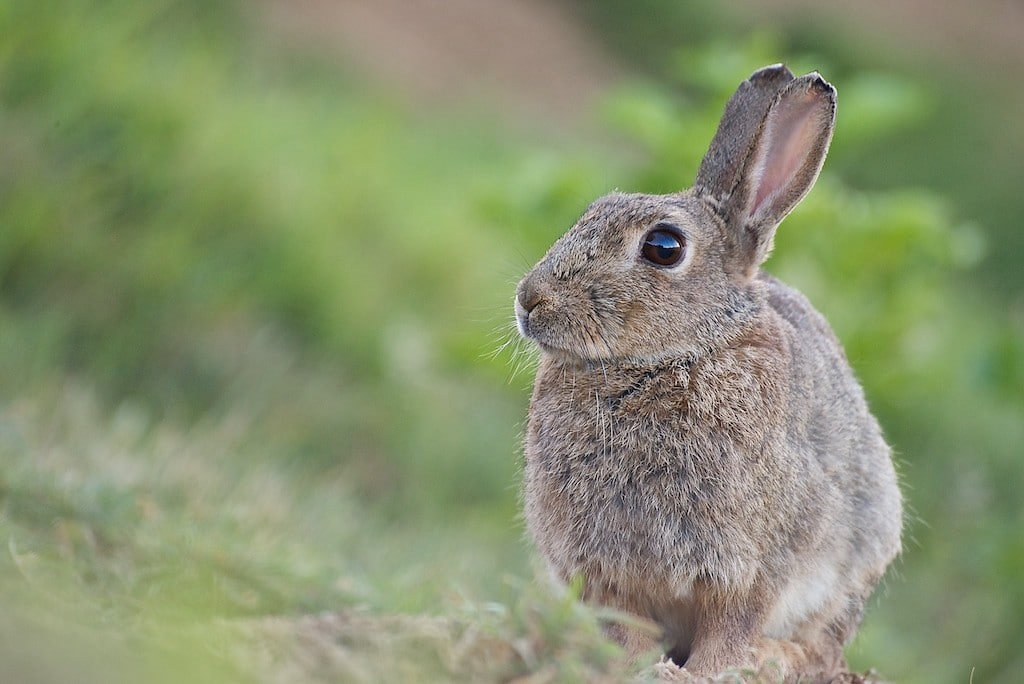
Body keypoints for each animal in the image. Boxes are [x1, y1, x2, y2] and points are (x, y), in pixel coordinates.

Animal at [516, 62, 901, 679]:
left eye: (664, 246)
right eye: (591, 211)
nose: (530, 300)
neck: (669, 359)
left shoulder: (750, 568)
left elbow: (732, 625)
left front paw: (706, 671)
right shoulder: (603, 570)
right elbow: (625, 629)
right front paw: (635, 668)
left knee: (823, 643)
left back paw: (778, 656)